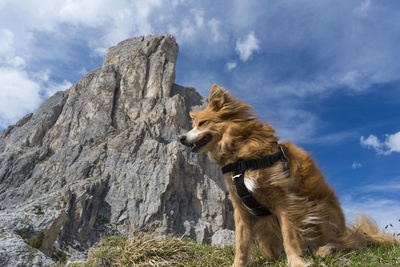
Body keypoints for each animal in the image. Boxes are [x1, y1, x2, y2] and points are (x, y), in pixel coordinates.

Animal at [180, 85, 398, 267]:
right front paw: (238, 265)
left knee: (347, 243)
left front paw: (296, 262)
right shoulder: (240, 208)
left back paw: (325, 249)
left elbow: (289, 236)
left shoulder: (284, 201)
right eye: (193, 125)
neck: (240, 155)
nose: (181, 138)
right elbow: (241, 243)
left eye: (202, 123)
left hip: (320, 209)